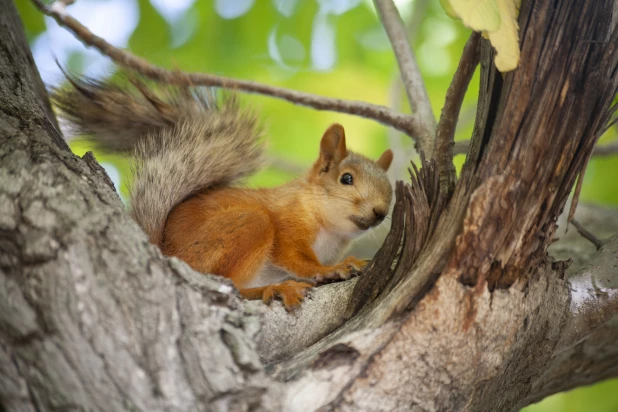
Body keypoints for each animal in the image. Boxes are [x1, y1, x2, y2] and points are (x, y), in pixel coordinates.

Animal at [53, 75, 390, 312]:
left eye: (389, 190)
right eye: (347, 178)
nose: (380, 212)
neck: (328, 226)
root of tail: (167, 251)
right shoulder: (288, 225)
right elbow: (298, 259)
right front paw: (335, 268)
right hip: (247, 226)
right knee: (231, 285)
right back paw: (273, 289)